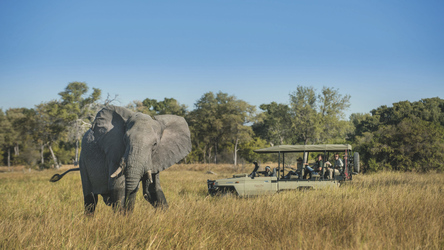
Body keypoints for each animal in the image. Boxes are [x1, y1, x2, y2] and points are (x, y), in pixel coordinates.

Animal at [50, 105, 193, 215]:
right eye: (125, 139)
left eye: (155, 144)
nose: (145, 195)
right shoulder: (114, 152)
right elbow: (118, 187)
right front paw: (122, 220)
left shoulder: (157, 157)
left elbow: (154, 189)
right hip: (83, 160)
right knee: (91, 200)